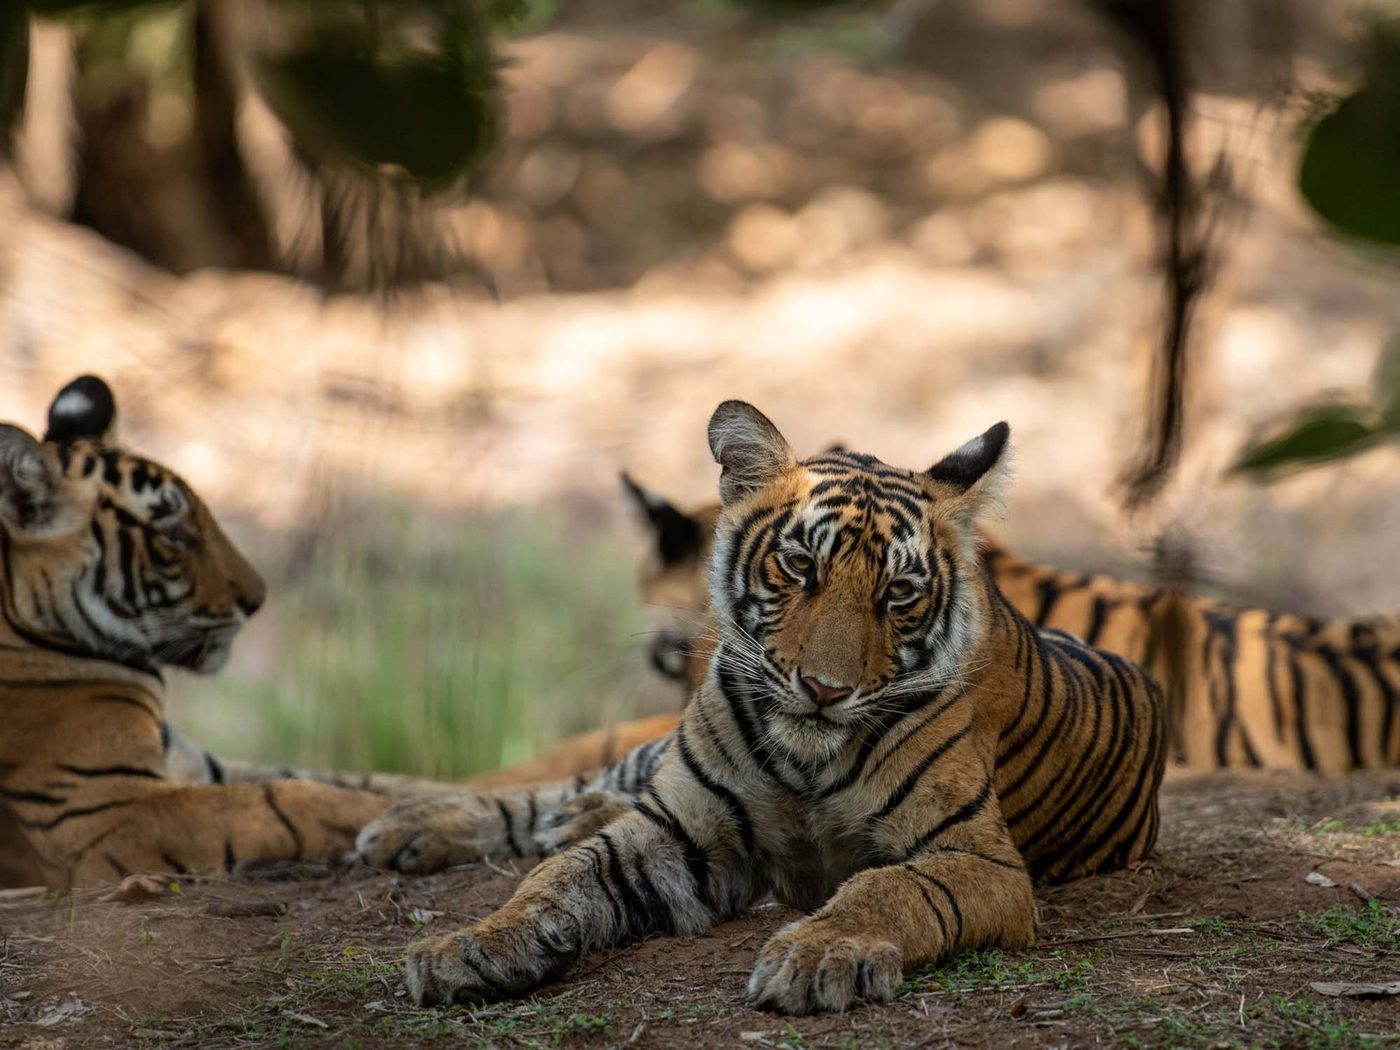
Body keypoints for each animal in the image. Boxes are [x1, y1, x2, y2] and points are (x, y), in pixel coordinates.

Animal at [0, 375, 461, 890]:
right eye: (173, 533)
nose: (257, 600)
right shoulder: (104, 806)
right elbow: (291, 798)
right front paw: (399, 817)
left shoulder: (193, 763)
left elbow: (357, 776)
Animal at [358, 400, 1167, 1014]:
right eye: (799, 565)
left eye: (899, 593)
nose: (826, 689)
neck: (806, 759)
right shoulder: (677, 828)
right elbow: (554, 880)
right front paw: (467, 946)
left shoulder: (974, 857)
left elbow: (886, 888)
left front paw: (816, 954)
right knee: (568, 790)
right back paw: (410, 826)